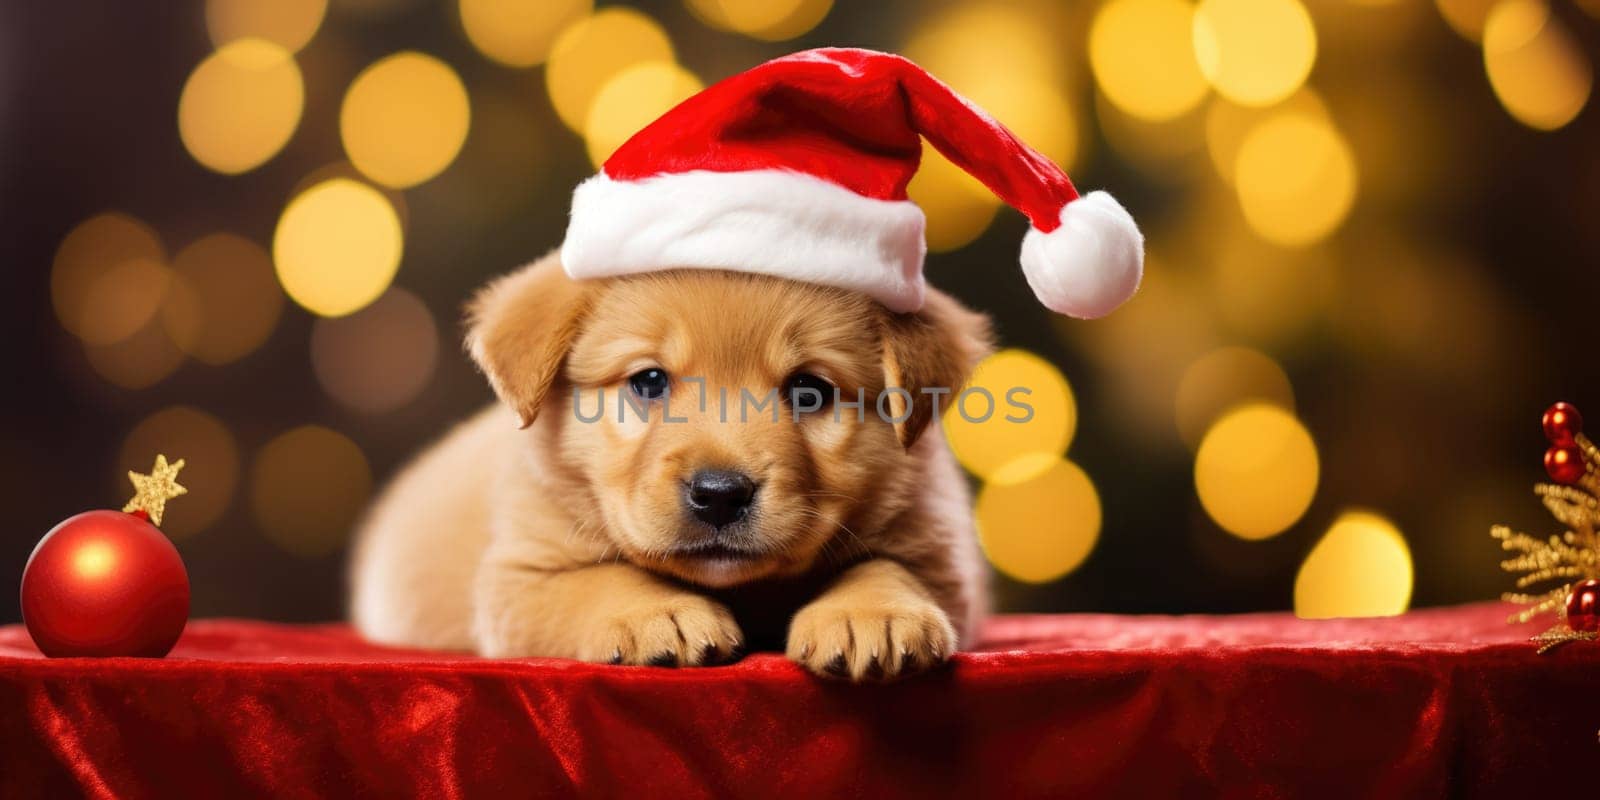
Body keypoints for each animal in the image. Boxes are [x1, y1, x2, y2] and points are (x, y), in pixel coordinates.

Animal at [353, 251, 985, 681]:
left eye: (811, 391)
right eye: (649, 380)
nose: (721, 493)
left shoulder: (941, 553)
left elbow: (887, 567)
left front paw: (872, 613)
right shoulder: (520, 577)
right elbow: (598, 580)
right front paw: (656, 614)